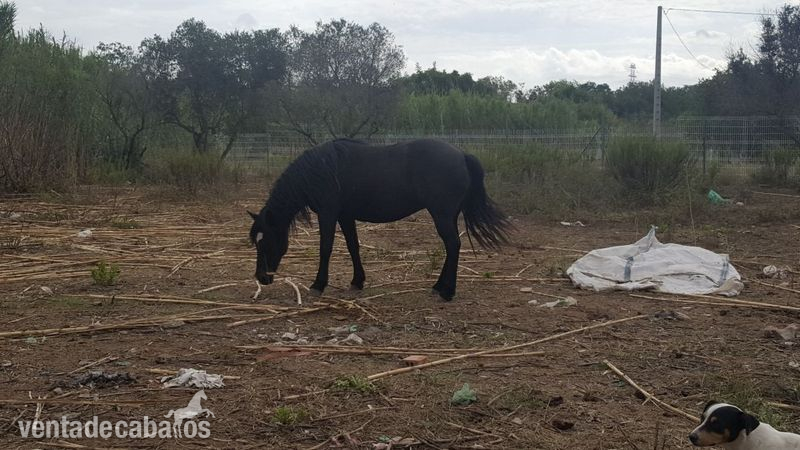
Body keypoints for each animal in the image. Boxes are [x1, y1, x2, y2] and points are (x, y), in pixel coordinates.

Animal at [248, 138, 510, 301]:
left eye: (265, 241)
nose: (262, 277)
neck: (320, 170)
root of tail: (462, 155)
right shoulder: (345, 215)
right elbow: (353, 246)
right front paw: (357, 282)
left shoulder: (328, 213)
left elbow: (325, 248)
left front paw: (318, 285)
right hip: (448, 215)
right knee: (451, 247)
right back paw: (438, 287)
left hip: (442, 215)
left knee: (453, 245)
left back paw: (447, 292)